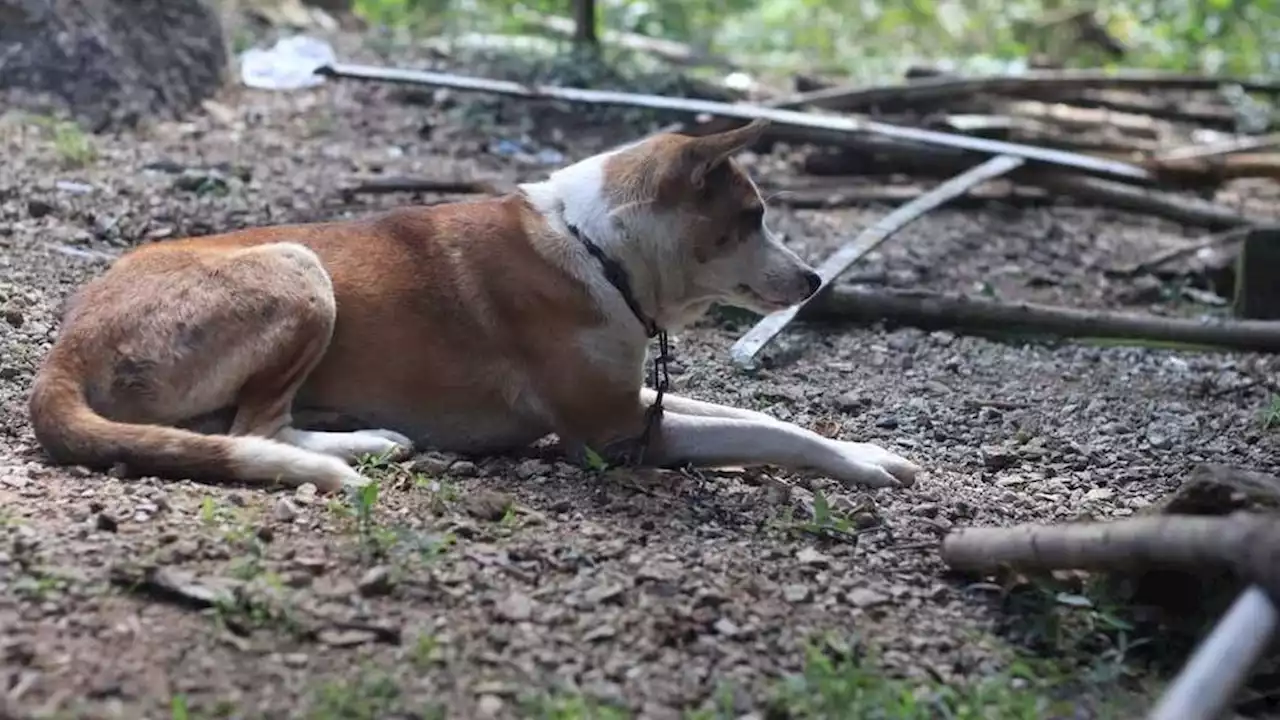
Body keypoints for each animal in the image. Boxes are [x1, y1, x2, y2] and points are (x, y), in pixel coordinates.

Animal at [27, 120, 921, 497]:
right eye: (754, 217)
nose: (814, 280)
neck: (598, 248)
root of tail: (66, 348)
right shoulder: (608, 432)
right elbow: (768, 432)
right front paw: (865, 467)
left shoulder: (636, 397)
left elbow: (762, 417)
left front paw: (872, 449)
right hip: (298, 269)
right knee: (258, 430)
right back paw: (369, 444)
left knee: (233, 429)